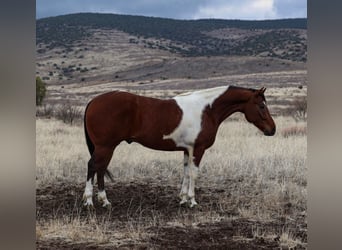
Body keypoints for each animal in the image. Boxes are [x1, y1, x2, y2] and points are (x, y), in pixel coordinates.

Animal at [82, 85, 276, 207]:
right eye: (261, 105)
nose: (272, 130)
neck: (207, 110)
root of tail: (93, 101)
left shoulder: (187, 149)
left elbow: (185, 172)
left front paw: (183, 199)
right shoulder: (198, 149)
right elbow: (194, 173)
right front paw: (192, 201)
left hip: (105, 148)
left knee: (99, 168)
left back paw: (102, 201)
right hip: (105, 146)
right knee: (93, 166)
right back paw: (91, 201)